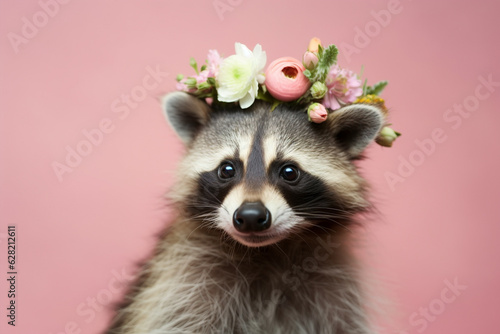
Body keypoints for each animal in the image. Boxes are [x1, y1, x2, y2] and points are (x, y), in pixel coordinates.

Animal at [106, 91, 386, 334]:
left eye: (289, 172)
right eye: (227, 170)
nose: (251, 216)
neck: (266, 251)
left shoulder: (336, 292)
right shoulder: (179, 288)